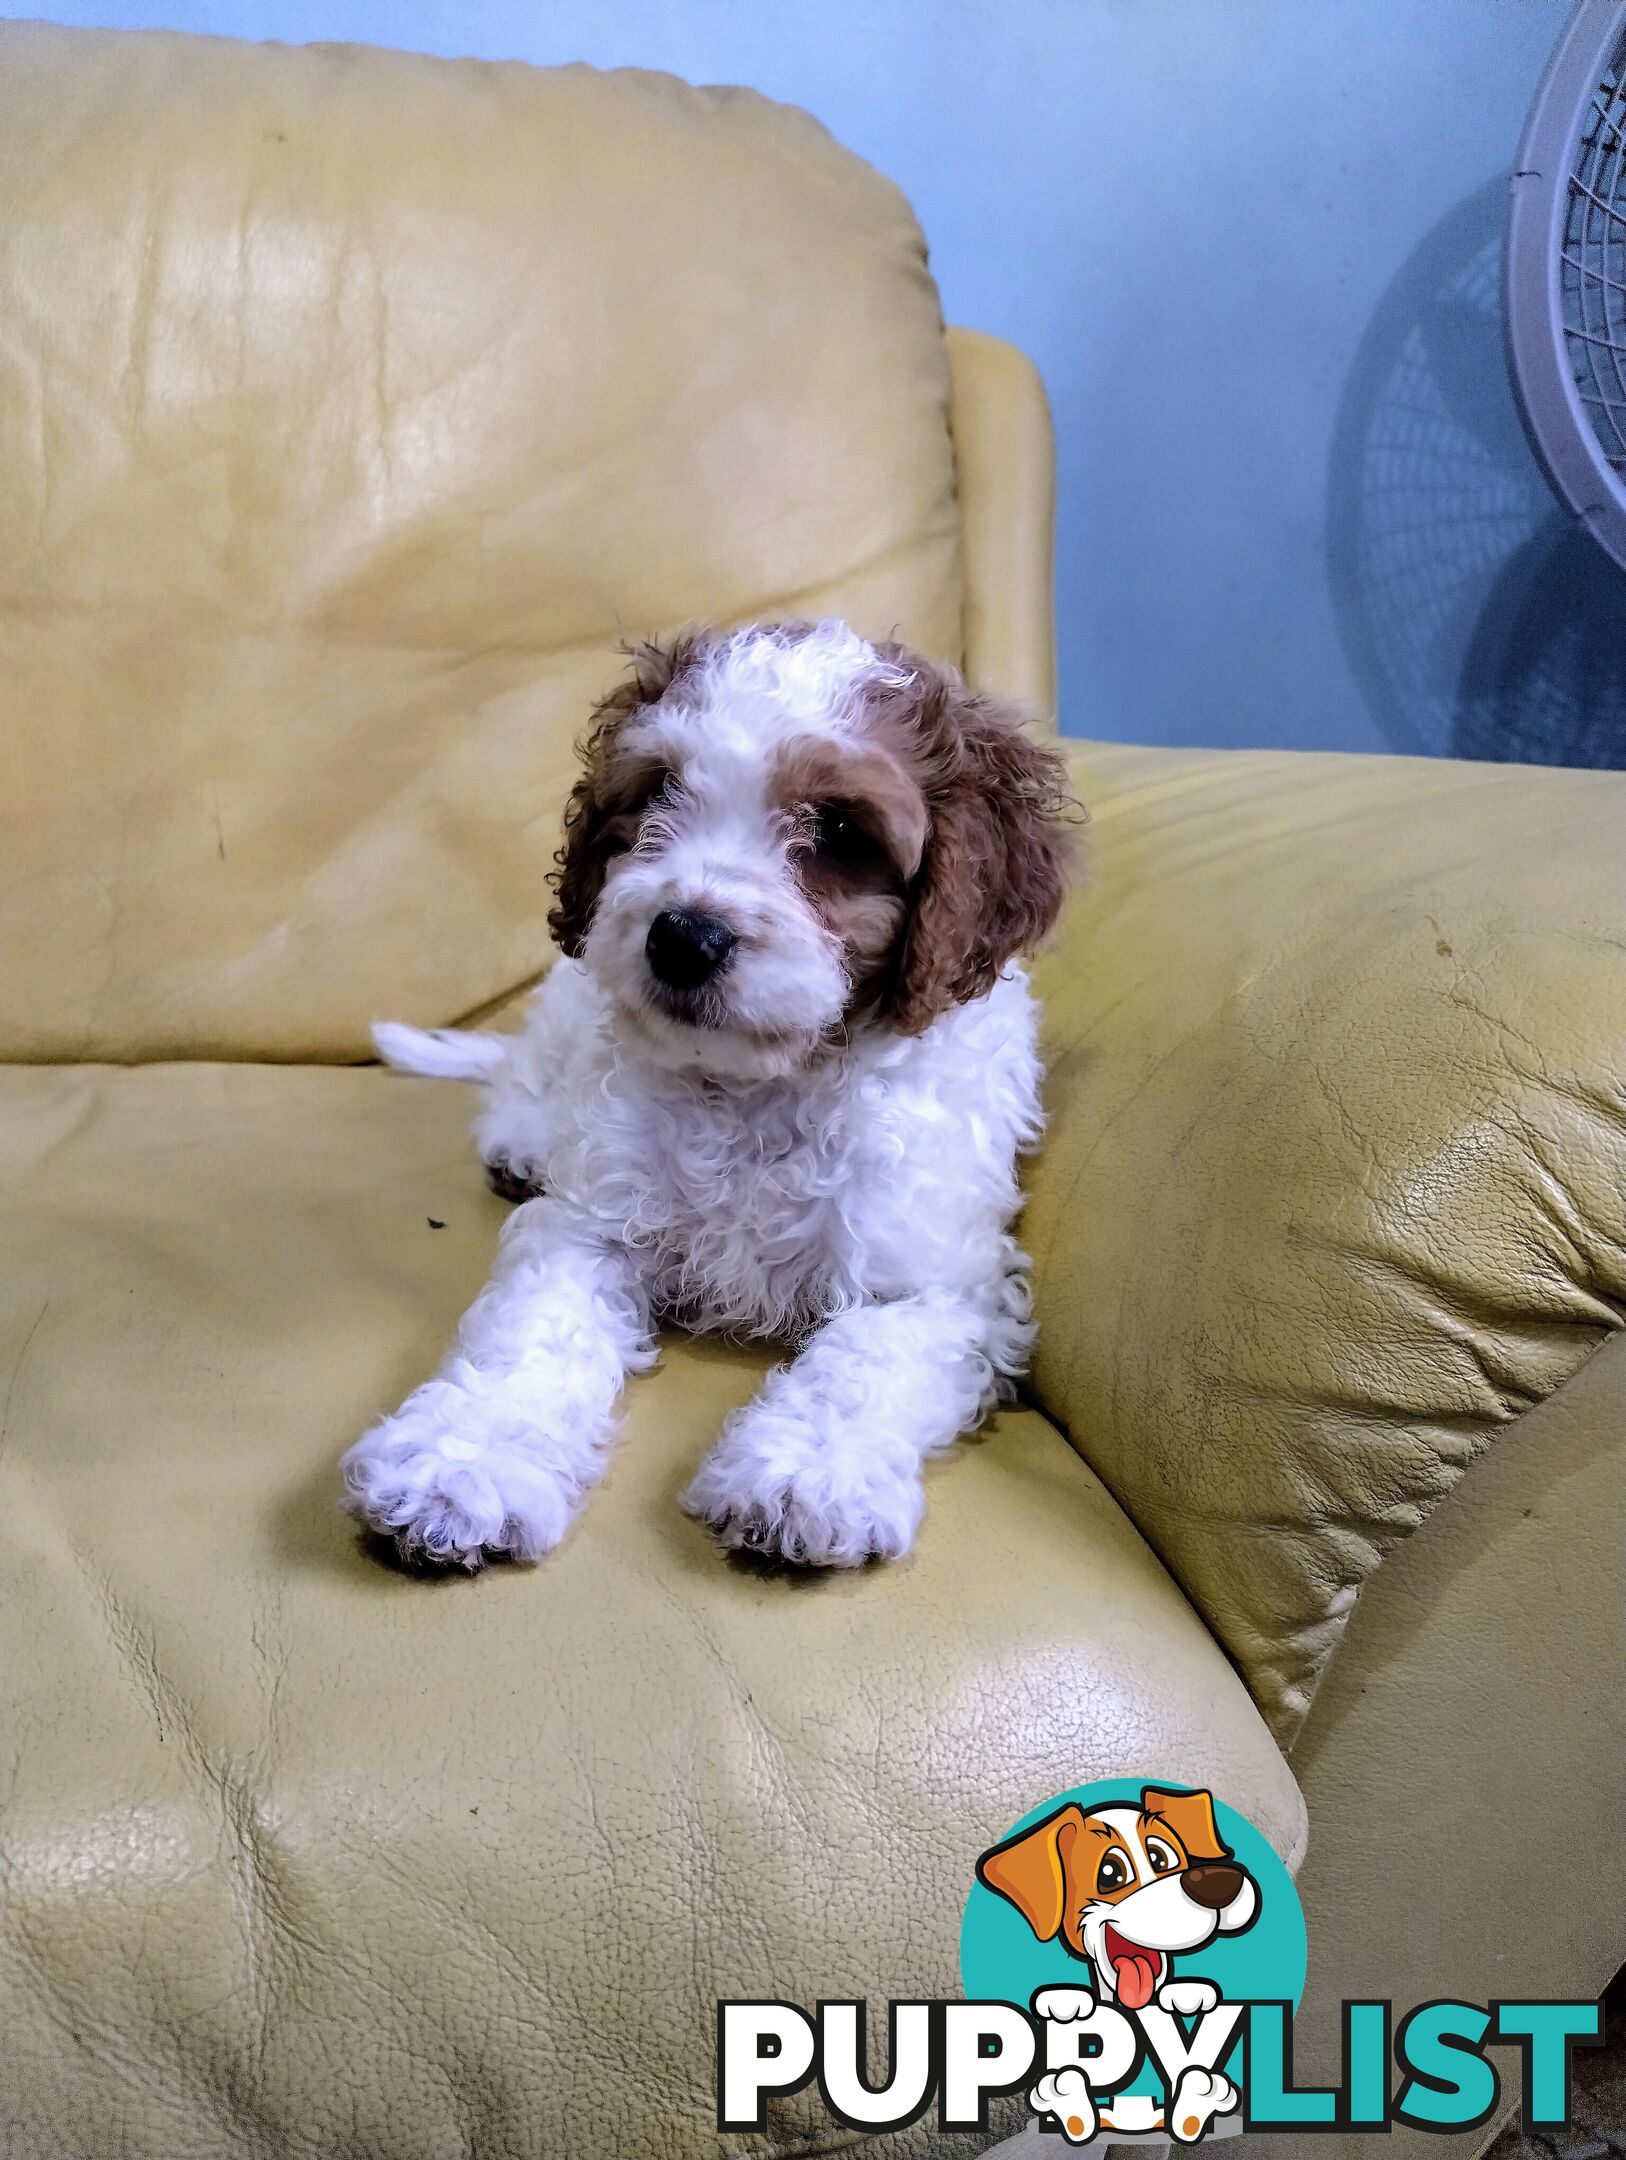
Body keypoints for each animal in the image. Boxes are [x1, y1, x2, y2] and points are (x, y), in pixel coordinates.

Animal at [341, 617, 1071, 1581]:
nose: (683, 938)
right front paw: (461, 1463)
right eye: (660, 791)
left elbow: (865, 1360)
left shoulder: (941, 1283)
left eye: (841, 830)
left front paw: (803, 1476)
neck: (759, 1086)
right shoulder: (590, 1227)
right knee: (527, 1070)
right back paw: (523, 1141)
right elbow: (532, 1335)